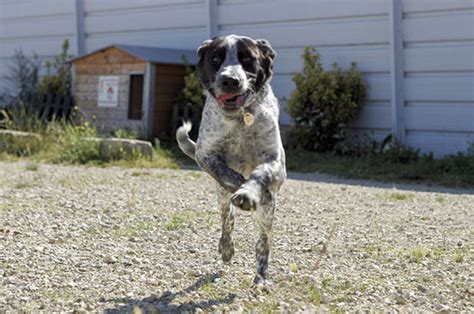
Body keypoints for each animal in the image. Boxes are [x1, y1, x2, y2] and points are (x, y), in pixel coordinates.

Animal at [177, 35, 286, 288]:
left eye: (248, 59)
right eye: (215, 58)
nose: (230, 80)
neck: (239, 118)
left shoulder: (276, 164)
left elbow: (260, 175)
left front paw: (249, 193)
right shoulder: (205, 154)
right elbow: (223, 171)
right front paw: (239, 184)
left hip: (267, 216)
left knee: (263, 241)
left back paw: (261, 276)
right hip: (222, 198)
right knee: (227, 219)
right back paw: (226, 248)